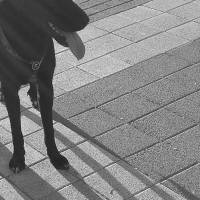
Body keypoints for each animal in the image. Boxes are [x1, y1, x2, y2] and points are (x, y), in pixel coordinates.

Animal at [0, 0, 89, 173]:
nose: (86, 20)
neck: (29, 37)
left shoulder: (46, 85)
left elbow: (49, 127)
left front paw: (55, 157)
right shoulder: (10, 89)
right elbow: (16, 129)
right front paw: (18, 158)